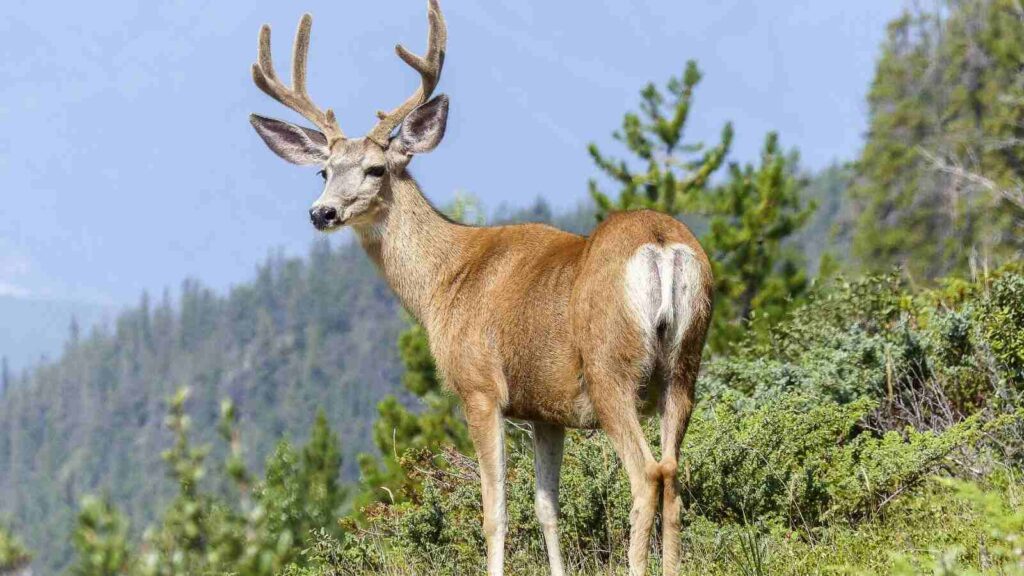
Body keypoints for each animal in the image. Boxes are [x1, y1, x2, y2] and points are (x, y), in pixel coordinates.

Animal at [247, 2, 713, 574]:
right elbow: (547, 508)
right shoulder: (545, 409)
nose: (323, 213)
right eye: (323, 171)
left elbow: (496, 512)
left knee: (647, 474)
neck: (443, 282)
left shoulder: (480, 387)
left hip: (611, 368)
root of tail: (661, 246)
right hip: (685, 365)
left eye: (376, 168)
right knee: (673, 473)